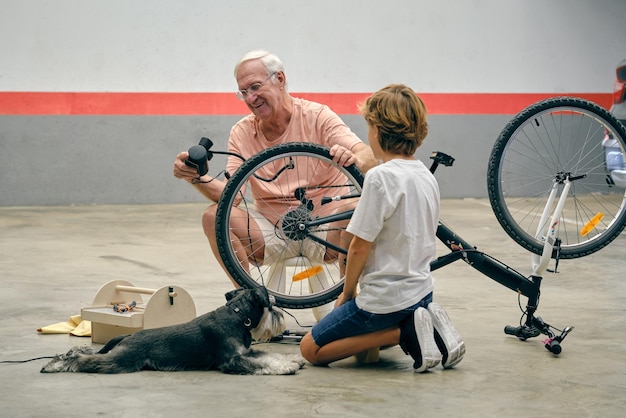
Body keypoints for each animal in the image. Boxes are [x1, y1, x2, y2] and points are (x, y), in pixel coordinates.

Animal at [40, 288, 304, 376]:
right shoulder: (233, 360)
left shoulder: (246, 352)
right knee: (85, 359)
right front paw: (286, 368)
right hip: (122, 361)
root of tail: (129, 335)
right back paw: (57, 364)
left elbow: (270, 356)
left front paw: (293, 360)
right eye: (271, 304)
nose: (281, 319)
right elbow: (262, 364)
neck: (238, 316)